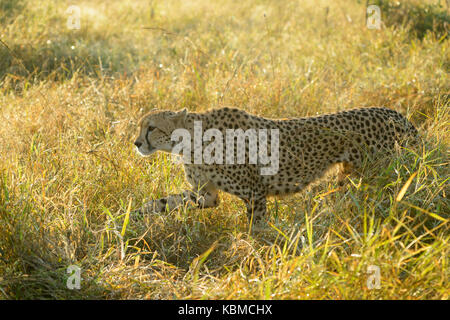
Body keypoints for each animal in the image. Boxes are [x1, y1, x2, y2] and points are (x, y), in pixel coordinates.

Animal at [133, 107, 418, 225]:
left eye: (151, 127)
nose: (136, 143)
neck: (191, 141)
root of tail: (393, 112)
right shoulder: (207, 195)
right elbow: (168, 201)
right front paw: (136, 213)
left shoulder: (254, 193)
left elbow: (255, 228)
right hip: (349, 177)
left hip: (379, 173)